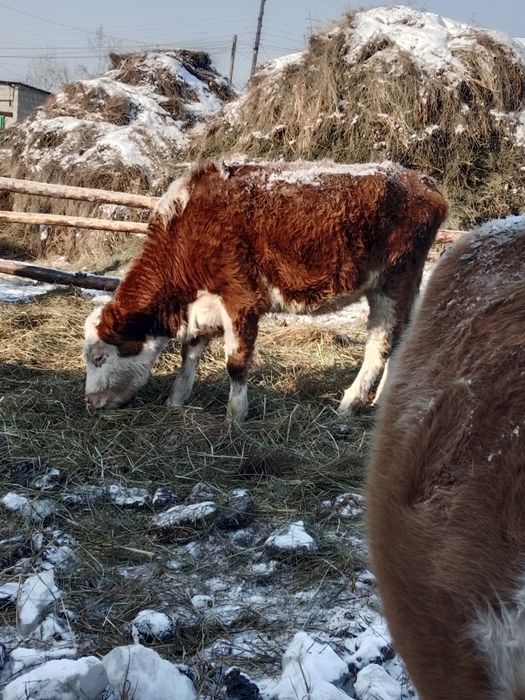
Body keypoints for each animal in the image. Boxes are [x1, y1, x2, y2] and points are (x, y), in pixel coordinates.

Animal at [83, 159, 447, 422]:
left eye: (100, 357)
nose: (90, 402)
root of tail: (420, 180)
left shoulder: (240, 298)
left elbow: (236, 363)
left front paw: (236, 415)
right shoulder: (204, 304)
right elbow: (190, 353)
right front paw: (176, 400)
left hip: (393, 282)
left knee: (380, 345)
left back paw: (351, 404)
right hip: (403, 285)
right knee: (403, 338)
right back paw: (385, 400)